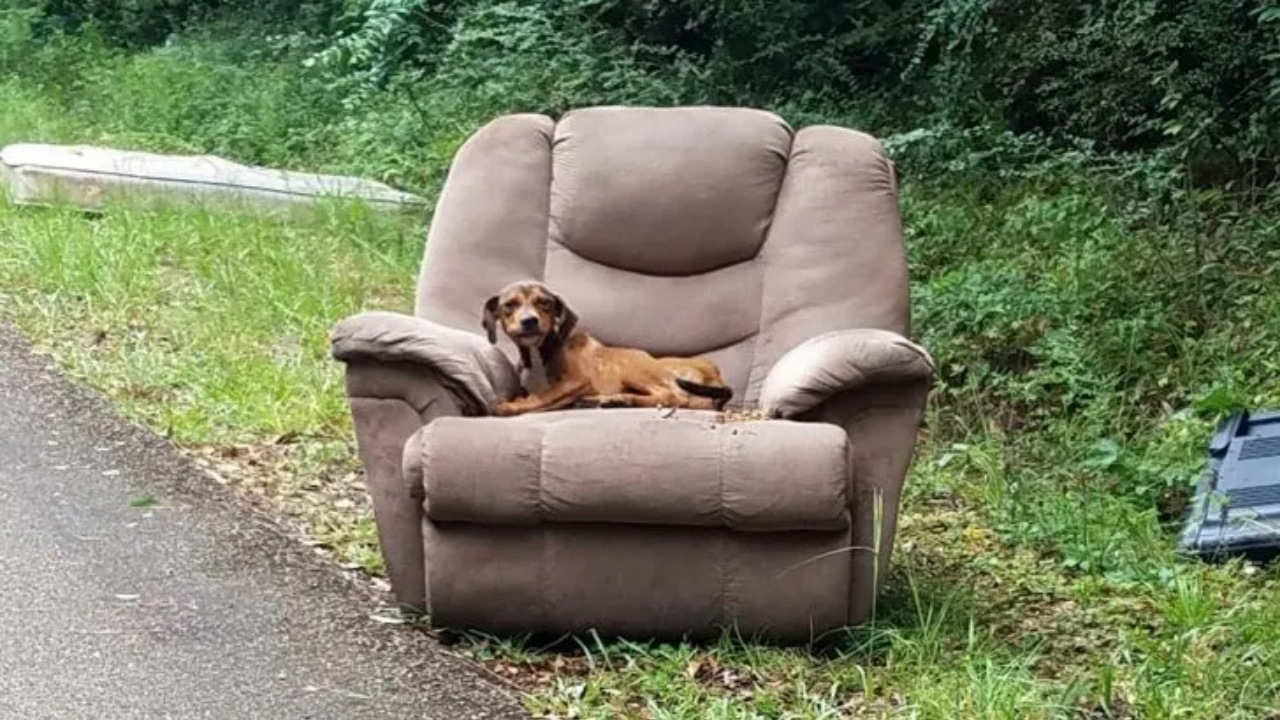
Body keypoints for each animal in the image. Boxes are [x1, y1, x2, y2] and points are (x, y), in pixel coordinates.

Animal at [481, 280, 742, 415]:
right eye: (509, 305)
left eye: (544, 303)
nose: (529, 321)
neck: (539, 352)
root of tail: (715, 375)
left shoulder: (577, 381)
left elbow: (542, 395)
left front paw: (511, 405)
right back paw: (609, 400)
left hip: (631, 365)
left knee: (672, 396)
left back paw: (620, 399)